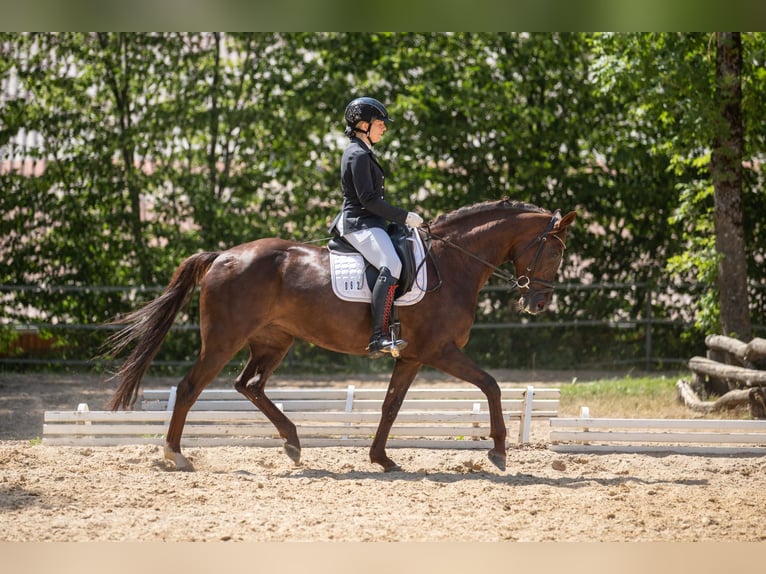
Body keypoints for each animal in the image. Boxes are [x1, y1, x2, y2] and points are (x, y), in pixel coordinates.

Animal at [103, 200, 576, 474]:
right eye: (554, 251)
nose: (538, 304)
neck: (452, 261)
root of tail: (223, 256)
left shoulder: (412, 357)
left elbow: (390, 406)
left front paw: (382, 459)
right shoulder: (441, 350)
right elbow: (492, 385)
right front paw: (498, 451)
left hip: (273, 341)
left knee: (248, 385)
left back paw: (293, 443)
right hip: (224, 339)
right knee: (190, 387)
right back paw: (176, 454)